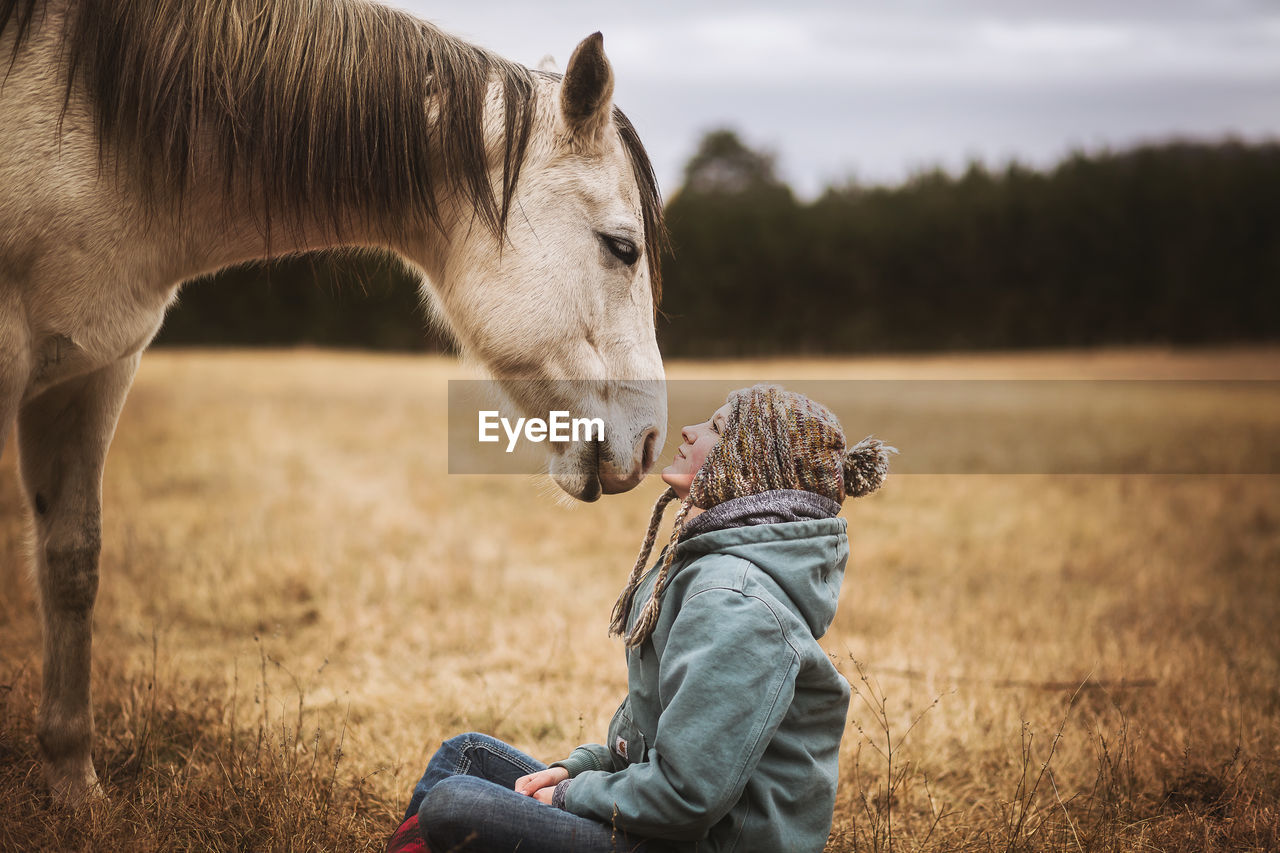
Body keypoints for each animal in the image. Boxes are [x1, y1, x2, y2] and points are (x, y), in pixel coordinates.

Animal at [2, 0, 670, 804]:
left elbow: (73, 561)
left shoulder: (95, 372)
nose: (652, 440)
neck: (98, 135)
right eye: (622, 247)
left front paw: (77, 791)